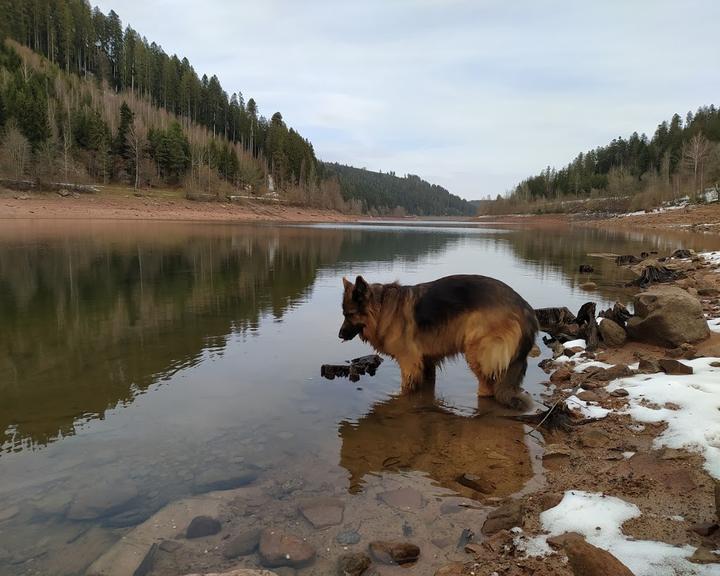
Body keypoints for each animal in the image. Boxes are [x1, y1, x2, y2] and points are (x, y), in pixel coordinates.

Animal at [340, 276, 536, 408]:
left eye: (350, 315)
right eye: (344, 314)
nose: (340, 335)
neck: (383, 308)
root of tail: (525, 308)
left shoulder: (409, 363)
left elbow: (406, 387)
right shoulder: (426, 361)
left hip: (476, 352)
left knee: (487, 388)